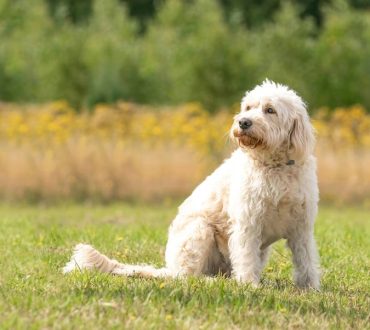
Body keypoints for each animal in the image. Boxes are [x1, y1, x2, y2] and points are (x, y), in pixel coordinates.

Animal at [63, 80, 320, 288]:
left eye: (270, 110)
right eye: (248, 107)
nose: (243, 122)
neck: (275, 167)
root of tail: (168, 268)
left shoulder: (302, 228)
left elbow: (306, 260)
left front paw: (311, 288)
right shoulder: (248, 225)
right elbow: (246, 259)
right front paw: (250, 286)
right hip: (199, 230)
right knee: (187, 276)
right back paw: (211, 281)